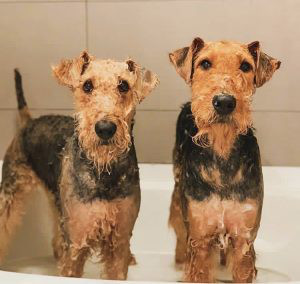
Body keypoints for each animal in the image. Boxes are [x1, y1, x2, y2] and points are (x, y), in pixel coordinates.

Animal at [0, 51, 159, 280]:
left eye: (124, 85)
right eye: (87, 85)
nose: (105, 128)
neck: (103, 173)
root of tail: (28, 122)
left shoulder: (119, 242)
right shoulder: (76, 243)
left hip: (55, 199)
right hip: (10, 192)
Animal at [168, 37, 280, 282]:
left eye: (246, 66)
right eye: (205, 63)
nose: (224, 102)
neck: (222, 153)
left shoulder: (243, 237)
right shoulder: (200, 238)